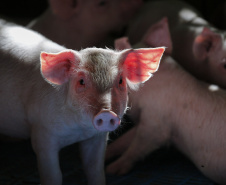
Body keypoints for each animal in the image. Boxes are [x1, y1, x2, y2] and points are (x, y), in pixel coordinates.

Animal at [0, 19, 164, 184]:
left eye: (120, 81)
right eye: (81, 81)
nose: (106, 113)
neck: (78, 130)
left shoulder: (97, 138)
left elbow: (94, 170)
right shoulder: (42, 133)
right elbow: (53, 175)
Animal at [107, 18, 226, 185]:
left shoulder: (156, 123)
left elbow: (138, 146)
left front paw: (112, 170)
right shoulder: (147, 119)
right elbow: (123, 141)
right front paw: (105, 157)